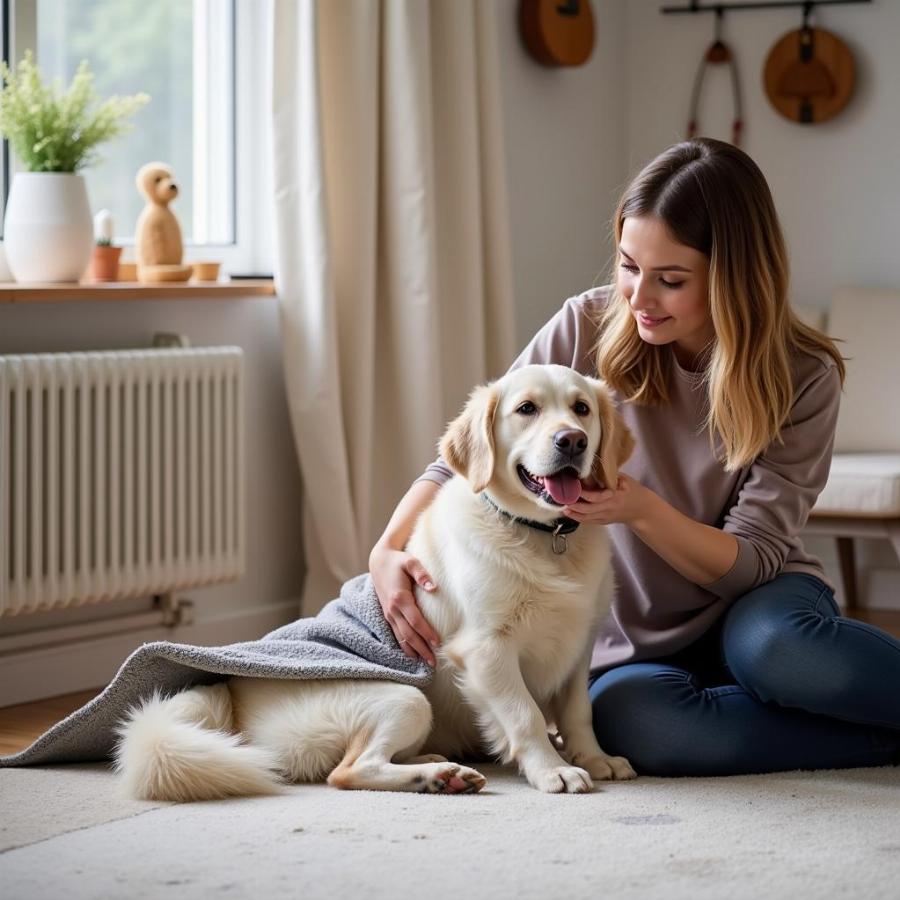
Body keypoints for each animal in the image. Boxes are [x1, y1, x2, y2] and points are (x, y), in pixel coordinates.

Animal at [114, 366, 632, 800]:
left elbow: (578, 710)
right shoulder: (486, 648)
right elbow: (526, 716)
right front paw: (553, 769)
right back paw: (437, 776)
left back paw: (438, 767)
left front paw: (594, 757)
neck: (543, 538)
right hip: (404, 697)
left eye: (581, 408)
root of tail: (229, 693)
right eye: (527, 409)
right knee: (347, 771)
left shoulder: (579, 643)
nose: (572, 441)